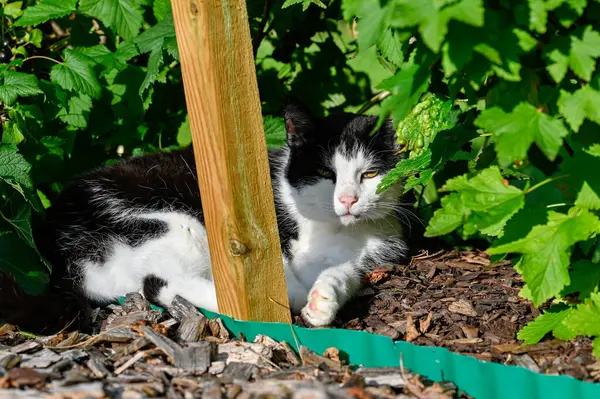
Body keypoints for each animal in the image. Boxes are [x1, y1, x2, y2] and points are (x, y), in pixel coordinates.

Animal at [0, 101, 408, 332]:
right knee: (156, 281)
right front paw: (305, 297)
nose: (348, 200)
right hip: (175, 224)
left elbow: (347, 274)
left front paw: (323, 300)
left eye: (370, 174)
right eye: (326, 173)